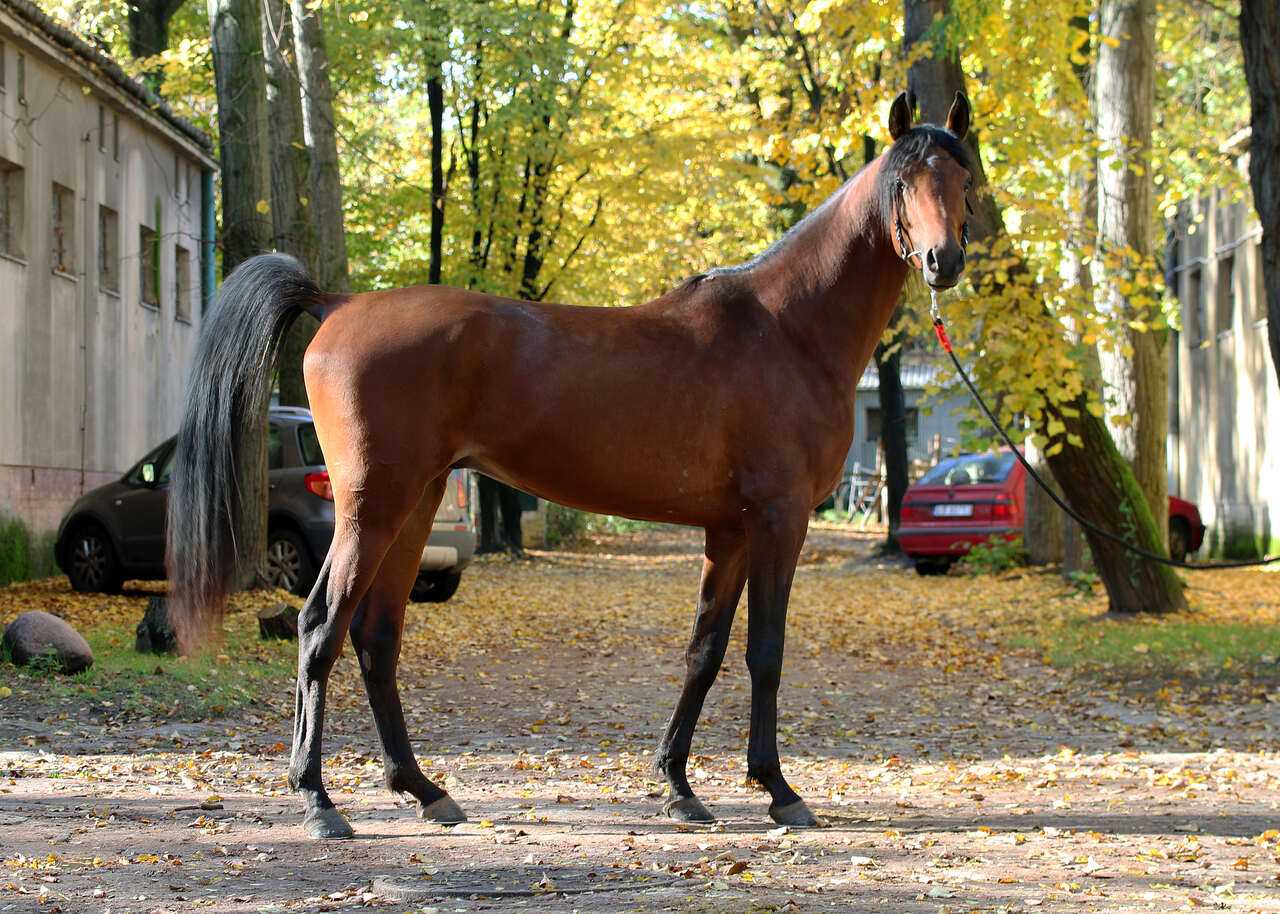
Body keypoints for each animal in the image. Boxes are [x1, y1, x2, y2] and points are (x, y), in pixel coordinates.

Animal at [166, 91, 975, 839]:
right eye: (905, 183)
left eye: (963, 177)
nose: (946, 261)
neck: (786, 329)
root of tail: (337, 303)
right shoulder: (780, 520)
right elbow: (764, 652)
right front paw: (779, 790)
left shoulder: (730, 532)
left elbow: (705, 651)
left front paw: (679, 787)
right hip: (372, 508)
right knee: (319, 627)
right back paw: (318, 801)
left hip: (416, 505)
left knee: (376, 635)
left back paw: (425, 791)